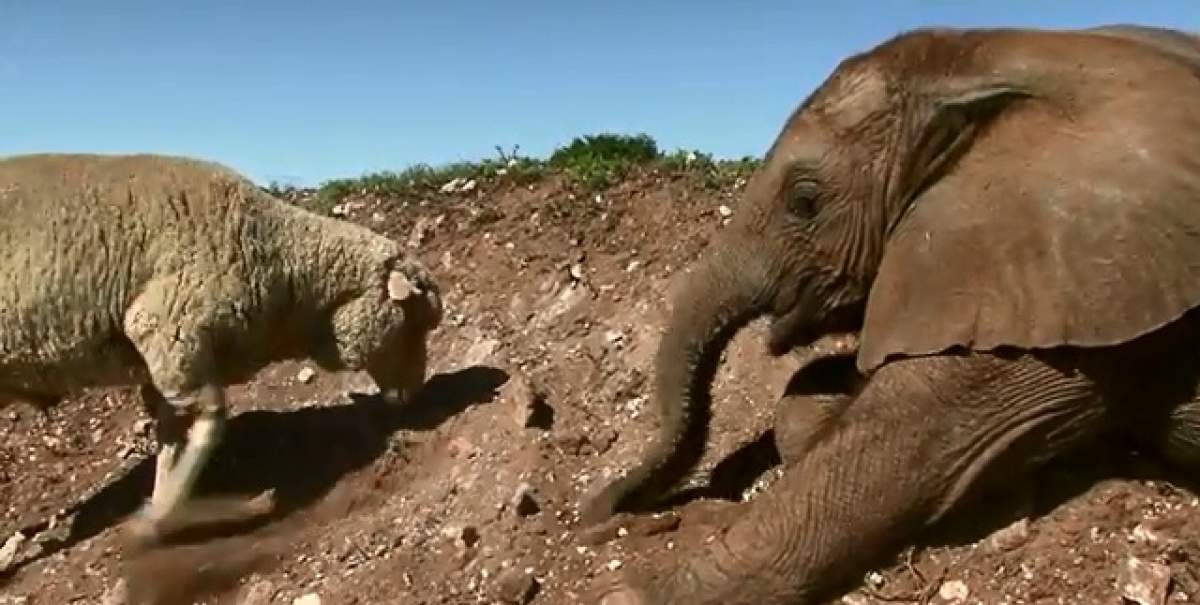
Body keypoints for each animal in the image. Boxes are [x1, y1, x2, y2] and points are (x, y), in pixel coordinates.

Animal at [0, 152, 446, 542]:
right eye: (415, 323)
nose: (415, 394)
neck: (282, 264)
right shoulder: (169, 331)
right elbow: (212, 420)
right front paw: (160, 519)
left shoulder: (168, 360)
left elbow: (170, 435)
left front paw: (159, 503)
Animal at [585, 23, 1200, 605]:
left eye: (804, 201)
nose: (598, 516)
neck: (992, 54)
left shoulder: (1064, 274)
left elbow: (891, 449)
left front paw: (626, 597)